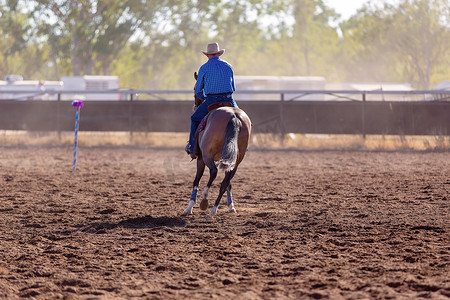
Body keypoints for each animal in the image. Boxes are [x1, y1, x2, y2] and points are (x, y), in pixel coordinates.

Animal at [183, 72, 253, 218]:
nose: (195, 106)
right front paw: (231, 207)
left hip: (207, 155)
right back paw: (213, 210)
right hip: (236, 161)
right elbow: (228, 184)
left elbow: (196, 180)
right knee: (225, 182)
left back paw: (205, 200)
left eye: (194, 89)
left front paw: (189, 207)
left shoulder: (200, 158)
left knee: (214, 172)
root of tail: (233, 116)